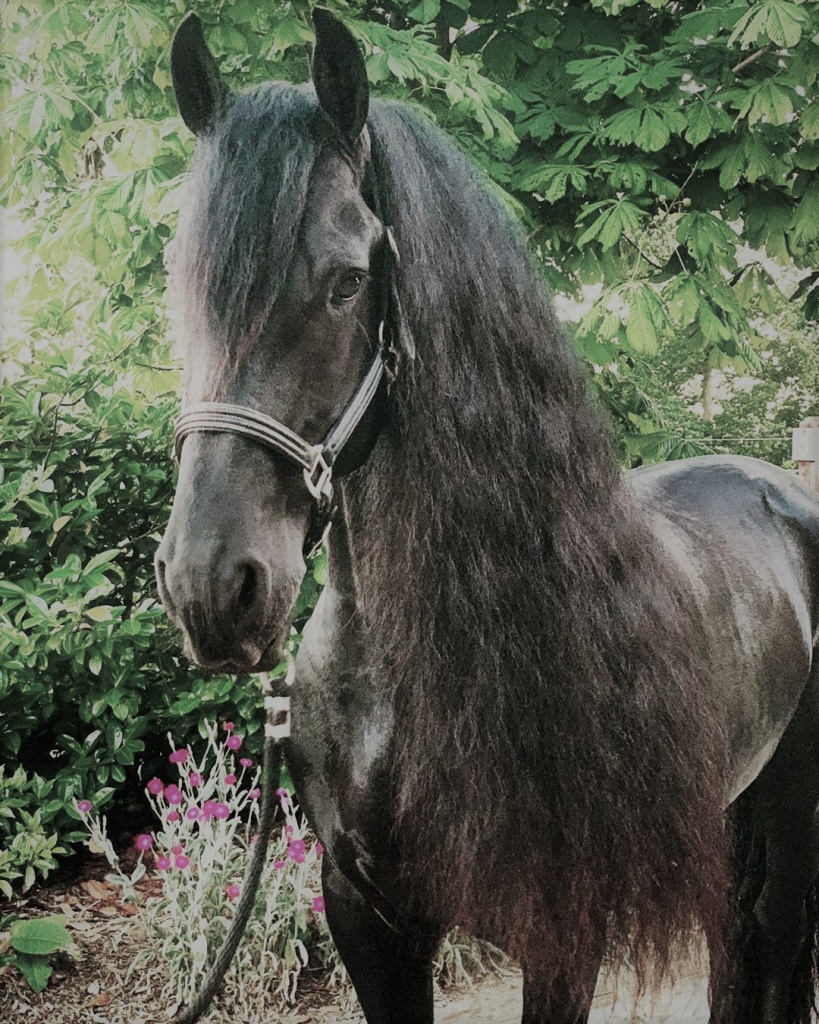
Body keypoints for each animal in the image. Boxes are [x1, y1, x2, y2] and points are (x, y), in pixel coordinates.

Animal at [154, 10, 819, 1023]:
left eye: (346, 281)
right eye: (179, 282)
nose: (212, 586)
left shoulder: (562, 932)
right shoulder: (368, 915)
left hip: (789, 813)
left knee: (772, 947)